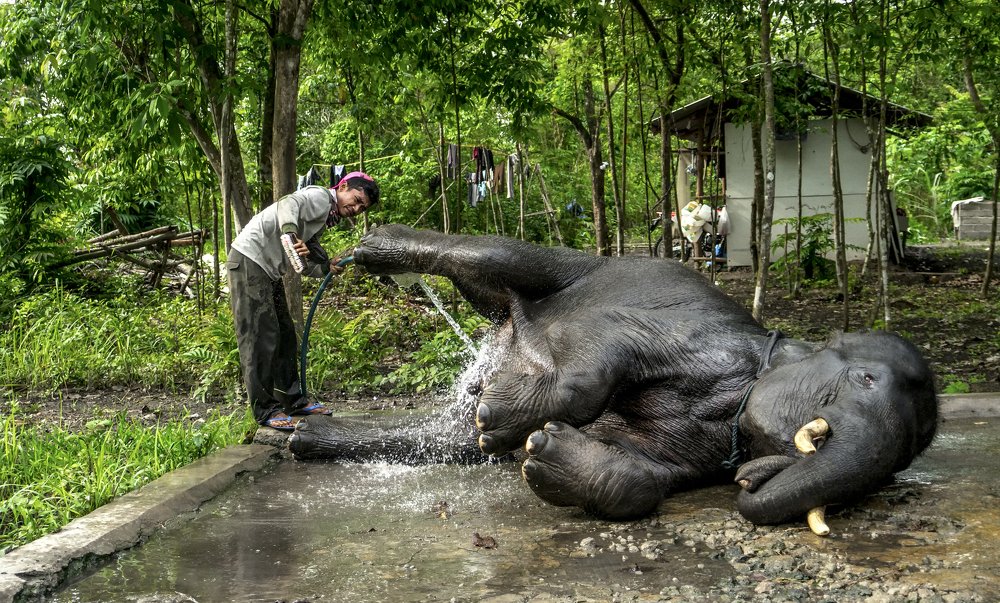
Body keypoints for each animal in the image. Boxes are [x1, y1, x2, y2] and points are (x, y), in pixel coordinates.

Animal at [288, 224, 939, 533]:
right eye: (864, 378)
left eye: (907, 454)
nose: (750, 481)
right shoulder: (691, 337)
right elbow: (605, 355)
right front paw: (500, 418)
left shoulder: (701, 445)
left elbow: (642, 478)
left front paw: (542, 453)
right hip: (586, 268)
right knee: (495, 257)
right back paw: (376, 252)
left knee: (448, 443)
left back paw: (305, 439)